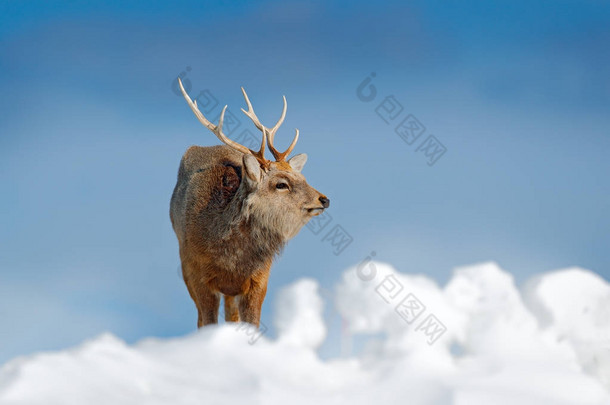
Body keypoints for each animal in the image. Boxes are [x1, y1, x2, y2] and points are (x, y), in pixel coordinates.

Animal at [169, 79, 330, 328]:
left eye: (303, 177)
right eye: (281, 184)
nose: (323, 199)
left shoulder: (259, 279)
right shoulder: (196, 274)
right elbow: (207, 323)